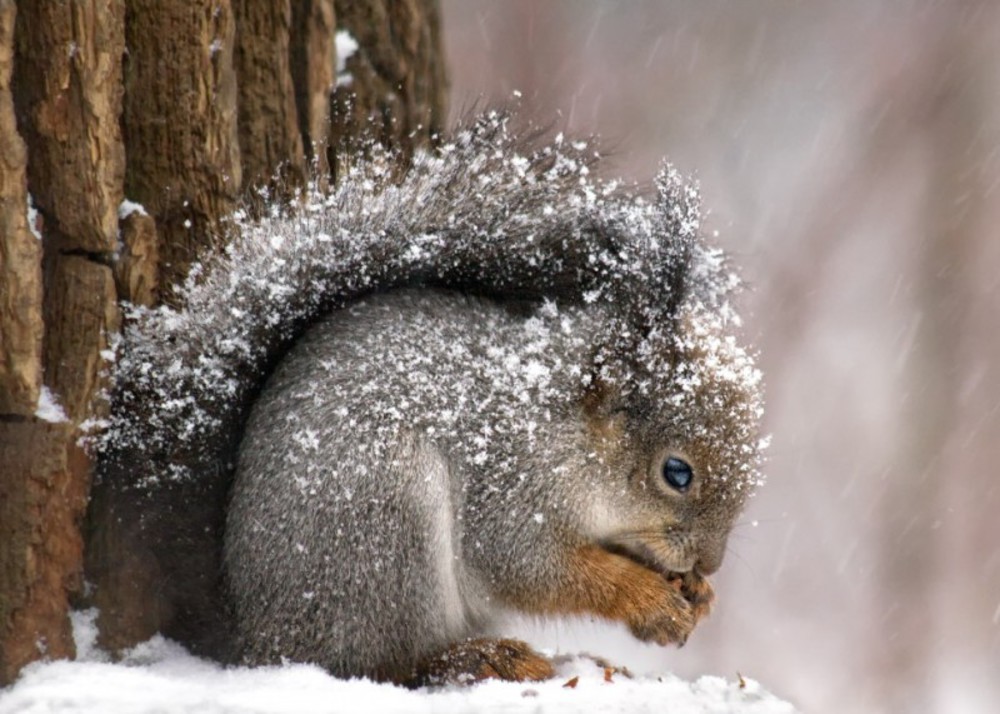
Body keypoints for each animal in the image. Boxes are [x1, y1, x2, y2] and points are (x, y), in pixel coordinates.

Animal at [92, 110, 764, 684]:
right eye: (676, 472)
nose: (709, 564)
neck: (565, 430)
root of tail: (260, 638)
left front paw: (697, 598)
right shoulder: (510, 486)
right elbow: (533, 567)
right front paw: (649, 600)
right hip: (386, 520)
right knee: (380, 665)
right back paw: (478, 659)